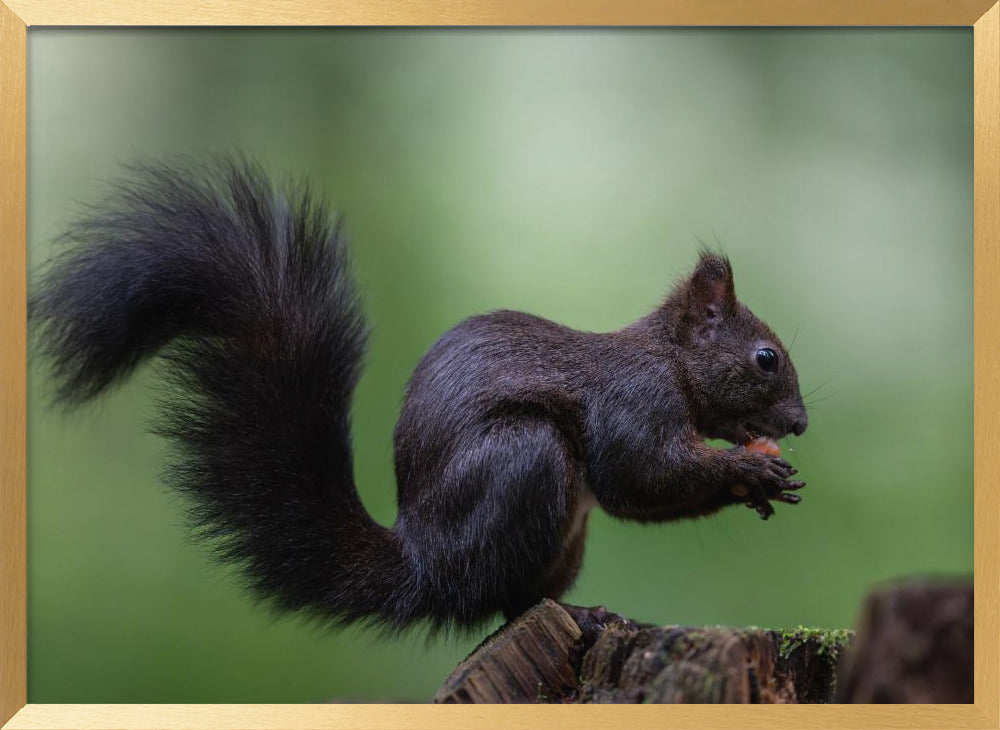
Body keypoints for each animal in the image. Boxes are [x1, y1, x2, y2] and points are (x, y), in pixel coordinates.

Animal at [31, 158, 808, 633]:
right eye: (766, 358)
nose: (799, 424)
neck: (668, 360)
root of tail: (425, 564)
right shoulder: (634, 400)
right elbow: (639, 474)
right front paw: (752, 470)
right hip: (526, 463)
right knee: (503, 598)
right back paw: (579, 616)